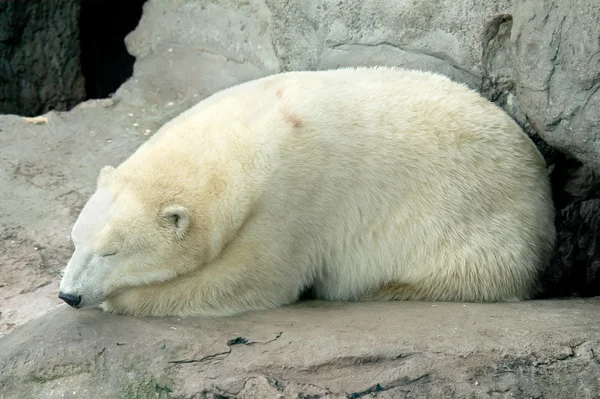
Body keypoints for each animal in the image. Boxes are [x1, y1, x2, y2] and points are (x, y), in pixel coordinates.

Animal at [58, 66, 556, 318]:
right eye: (76, 241)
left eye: (112, 253)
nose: (69, 295)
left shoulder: (291, 198)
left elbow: (250, 279)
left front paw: (119, 300)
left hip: (474, 233)